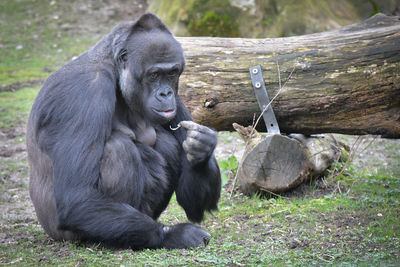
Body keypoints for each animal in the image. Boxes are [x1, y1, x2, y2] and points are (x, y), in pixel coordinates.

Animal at [27, 13, 222, 251]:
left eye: (172, 73)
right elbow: (77, 196)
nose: (165, 93)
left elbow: (193, 205)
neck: (113, 69)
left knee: (166, 145)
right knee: (118, 148)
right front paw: (173, 235)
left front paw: (202, 148)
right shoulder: (86, 90)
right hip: (63, 234)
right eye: (154, 75)